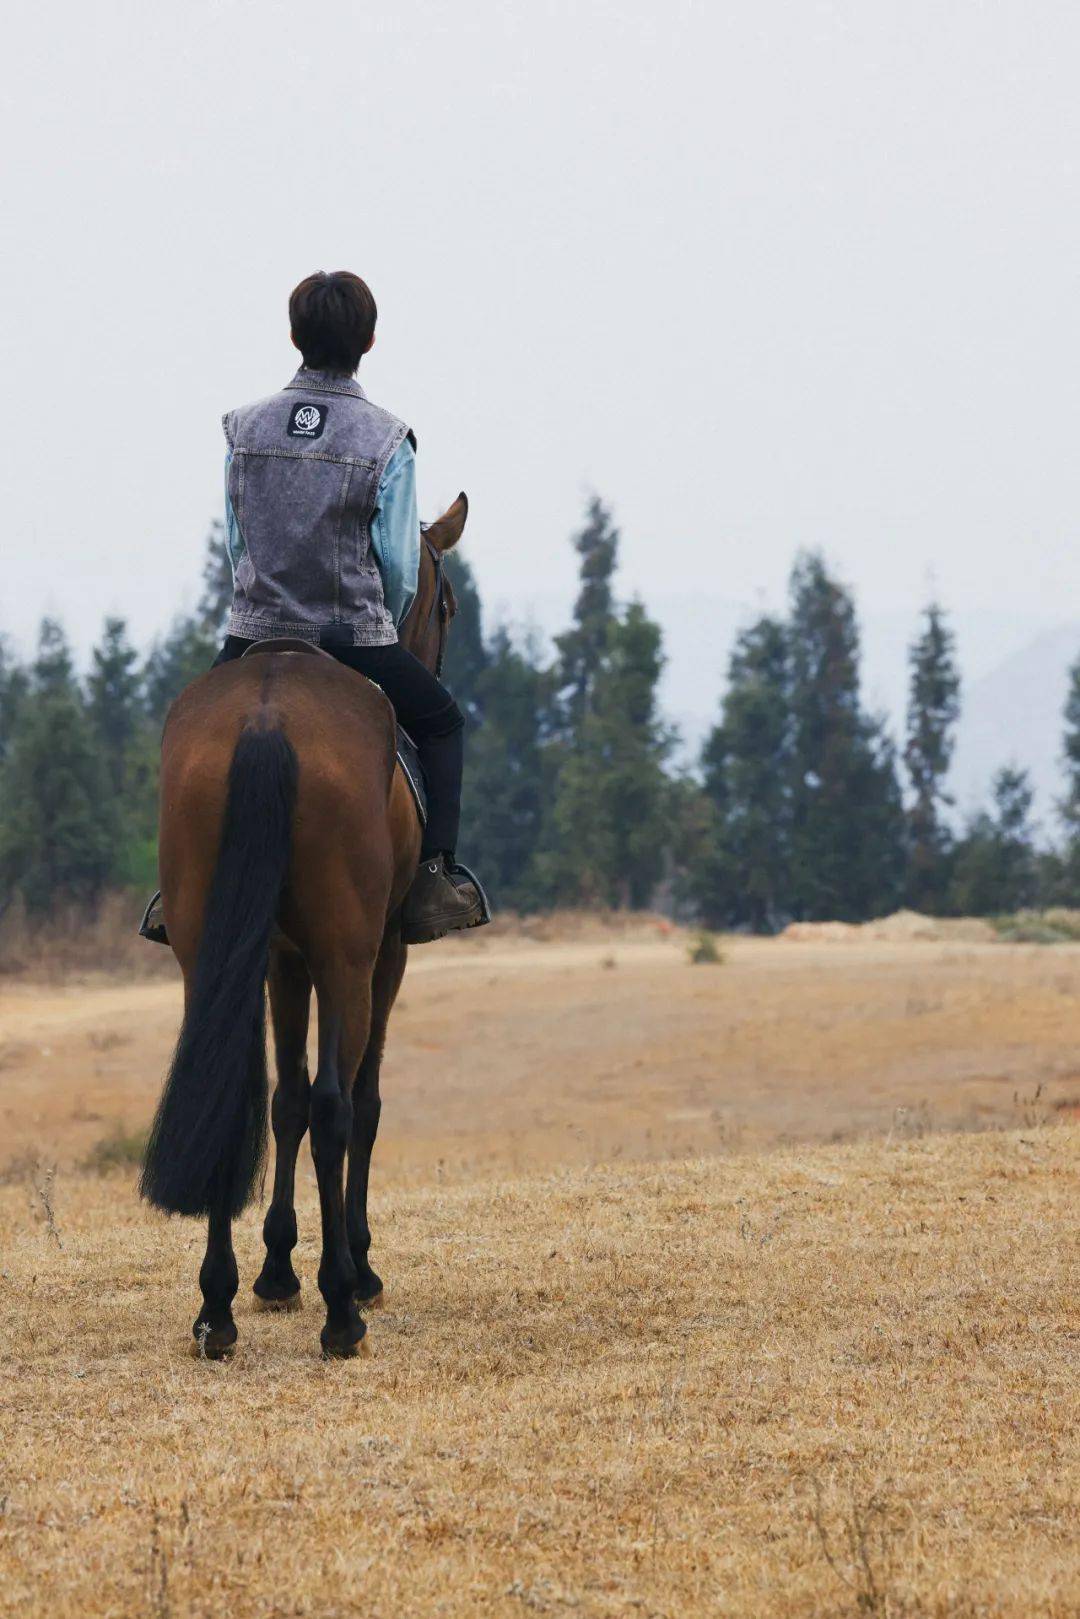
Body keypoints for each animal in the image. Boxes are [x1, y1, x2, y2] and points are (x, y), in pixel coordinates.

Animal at [141, 488, 466, 1353]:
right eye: (449, 605)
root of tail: (266, 716)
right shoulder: (382, 953)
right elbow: (358, 1099)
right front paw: (352, 1264)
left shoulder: (281, 959)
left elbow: (281, 1099)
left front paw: (274, 1269)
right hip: (350, 953)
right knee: (335, 1104)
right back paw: (342, 1308)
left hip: (211, 950)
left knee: (237, 1092)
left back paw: (216, 1307)